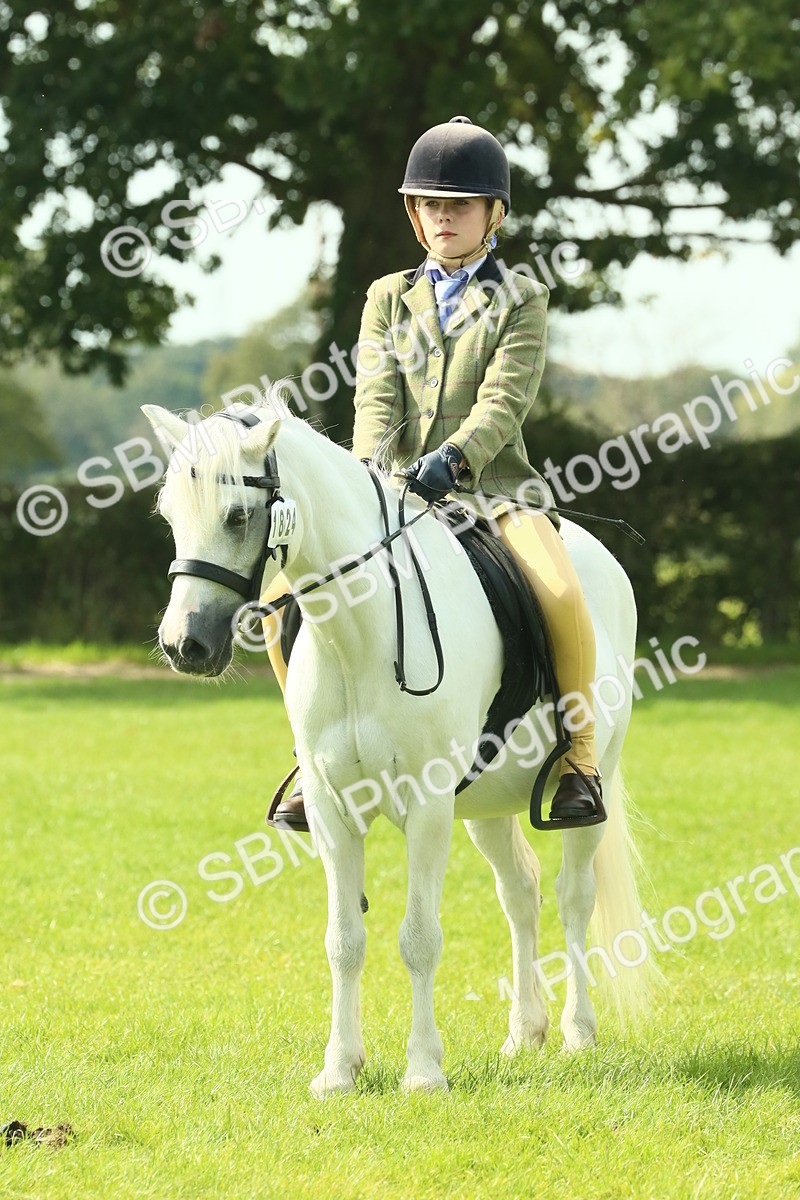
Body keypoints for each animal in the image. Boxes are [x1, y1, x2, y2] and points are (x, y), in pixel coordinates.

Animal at [142, 397, 648, 1096]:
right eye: (169, 516)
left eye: (238, 515)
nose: (183, 645)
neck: (359, 634)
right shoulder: (330, 808)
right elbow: (343, 940)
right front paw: (339, 1069)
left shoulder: (429, 805)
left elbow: (419, 938)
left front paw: (424, 1070)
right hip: (484, 803)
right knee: (521, 895)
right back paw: (525, 1033)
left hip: (585, 781)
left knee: (574, 897)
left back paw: (577, 1032)